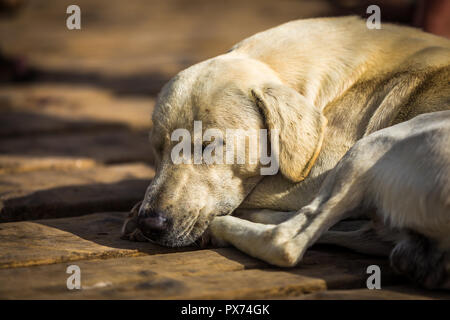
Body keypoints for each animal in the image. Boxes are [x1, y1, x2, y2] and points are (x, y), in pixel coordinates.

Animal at [122, 16, 450, 288]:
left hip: (370, 147)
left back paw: (221, 227)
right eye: (156, 147)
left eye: (210, 145)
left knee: (285, 242)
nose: (150, 223)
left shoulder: (310, 180)